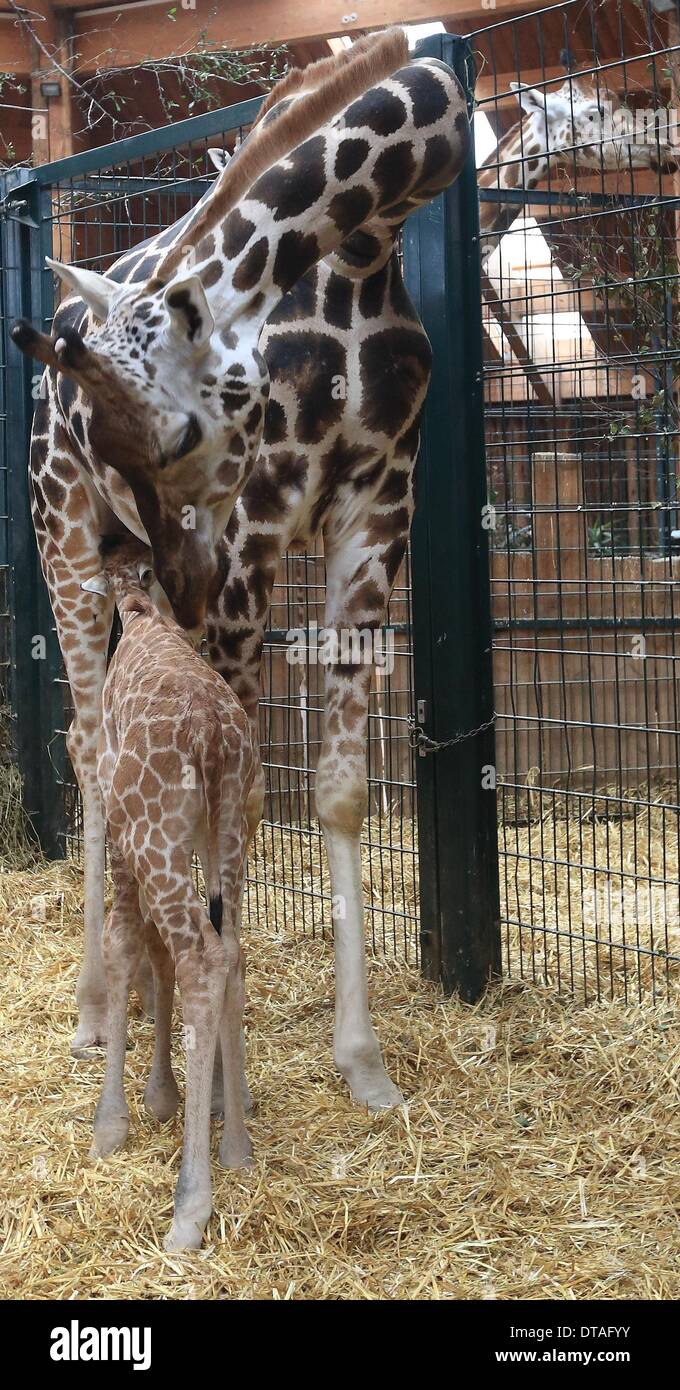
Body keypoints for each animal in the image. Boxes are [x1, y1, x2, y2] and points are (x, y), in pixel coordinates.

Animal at [13, 27, 470, 1106]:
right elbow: (233, 797)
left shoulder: (374, 513)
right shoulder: (257, 523)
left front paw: (363, 1064)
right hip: (66, 544)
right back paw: (96, 1011)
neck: (367, 248)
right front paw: (215, 1067)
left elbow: (336, 792)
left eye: (182, 432)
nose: (179, 555)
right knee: (88, 746)